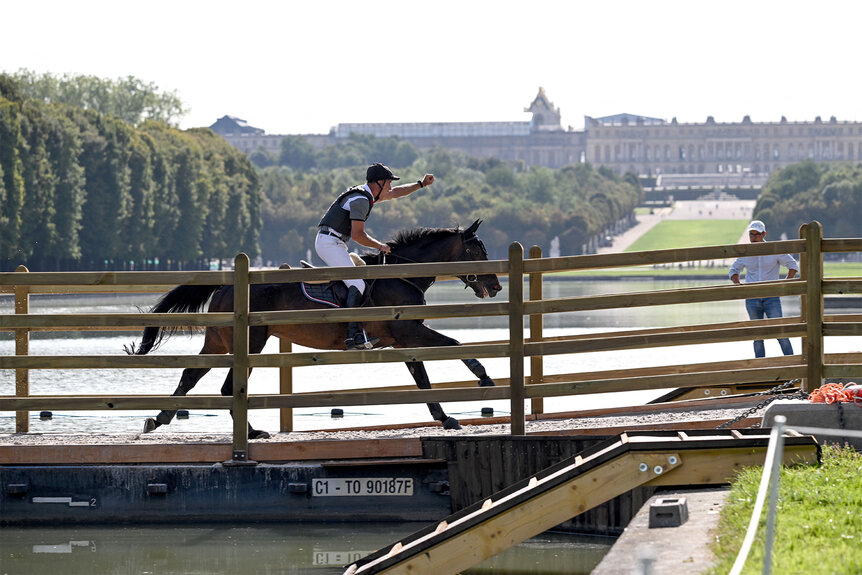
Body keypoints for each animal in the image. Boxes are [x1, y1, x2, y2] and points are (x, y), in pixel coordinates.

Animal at [129, 218, 506, 438]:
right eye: (476, 251)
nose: (496, 284)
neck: (401, 274)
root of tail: (227, 285)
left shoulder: (403, 339)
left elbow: (423, 379)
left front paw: (445, 417)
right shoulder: (410, 332)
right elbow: (454, 345)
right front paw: (484, 375)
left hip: (222, 342)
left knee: (192, 374)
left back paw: (159, 418)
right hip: (250, 342)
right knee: (226, 387)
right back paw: (249, 433)